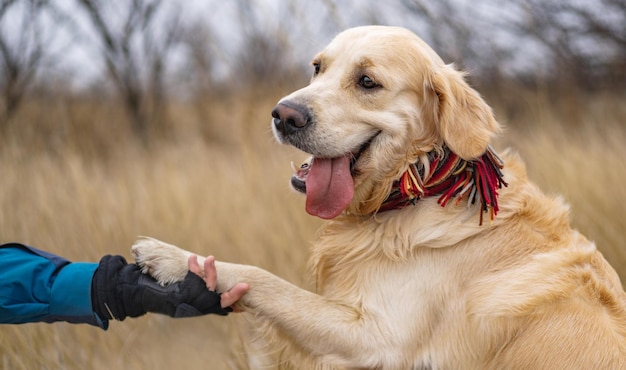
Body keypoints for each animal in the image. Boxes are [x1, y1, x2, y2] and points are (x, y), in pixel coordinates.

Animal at [129, 25, 620, 368]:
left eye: (367, 82)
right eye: (317, 68)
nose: (283, 115)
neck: (420, 186)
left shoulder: (378, 341)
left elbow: (266, 281)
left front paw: (173, 258)